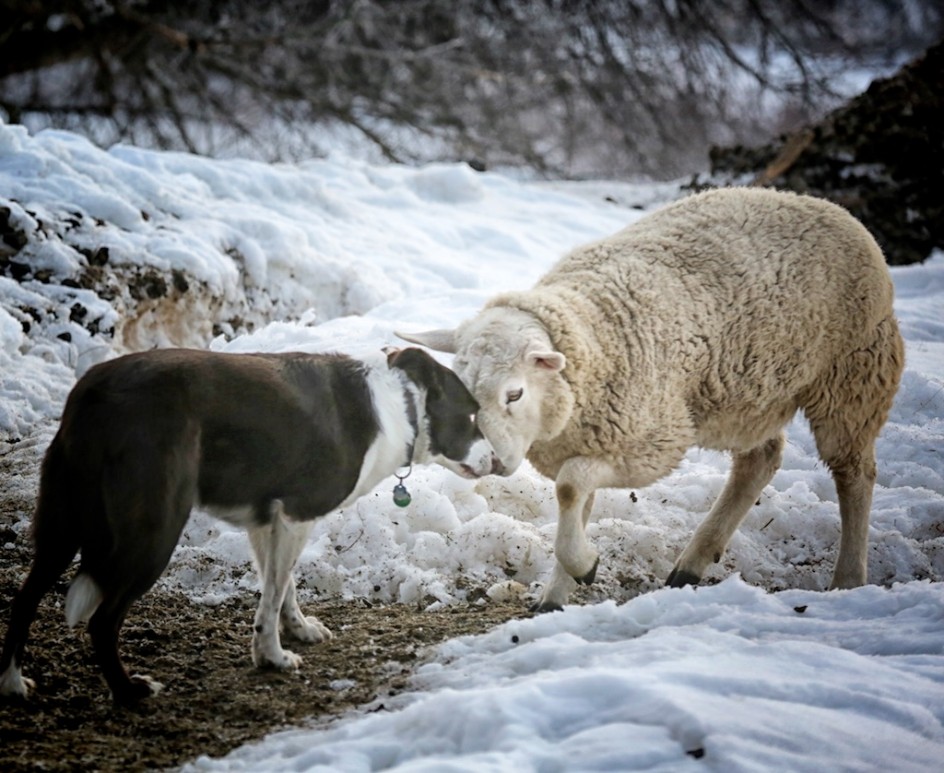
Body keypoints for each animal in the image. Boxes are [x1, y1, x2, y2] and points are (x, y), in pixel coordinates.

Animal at [0, 346, 502, 704]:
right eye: (471, 414)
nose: (498, 462)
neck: (402, 405)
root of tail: (91, 393)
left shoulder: (271, 521)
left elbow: (282, 586)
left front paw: (297, 631)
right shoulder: (297, 514)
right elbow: (275, 594)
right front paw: (272, 657)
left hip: (63, 524)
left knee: (24, 599)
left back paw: (13, 684)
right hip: (154, 530)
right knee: (103, 620)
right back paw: (128, 691)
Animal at [402, 185, 904, 608]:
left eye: (515, 393)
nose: (482, 462)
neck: (594, 333)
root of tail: (823, 205)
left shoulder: (651, 442)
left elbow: (569, 486)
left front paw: (583, 567)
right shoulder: (592, 435)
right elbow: (573, 503)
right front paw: (560, 591)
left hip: (854, 376)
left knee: (855, 473)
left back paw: (847, 579)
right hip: (750, 399)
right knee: (760, 460)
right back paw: (692, 564)